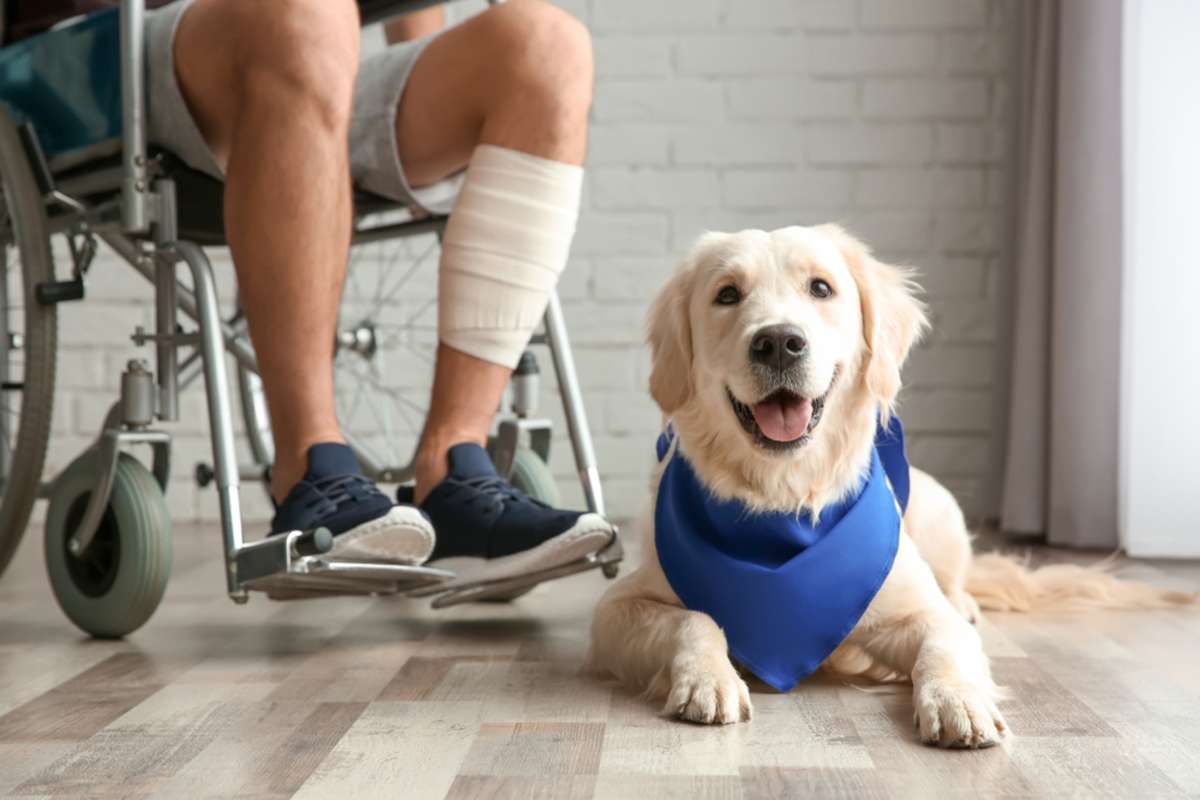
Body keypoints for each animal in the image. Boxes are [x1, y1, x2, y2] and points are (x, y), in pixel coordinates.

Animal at [588, 226, 1190, 753]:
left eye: (821, 288)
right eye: (727, 295)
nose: (779, 342)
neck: (784, 499)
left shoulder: (916, 609)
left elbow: (944, 642)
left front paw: (957, 702)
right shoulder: (618, 608)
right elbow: (695, 618)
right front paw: (708, 679)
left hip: (941, 506)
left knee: (957, 587)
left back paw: (968, 601)